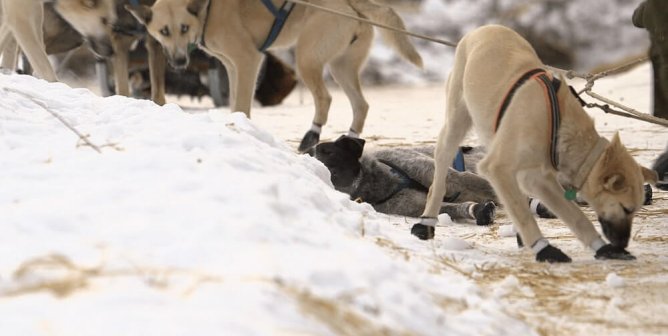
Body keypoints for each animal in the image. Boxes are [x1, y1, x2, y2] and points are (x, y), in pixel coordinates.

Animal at [127, 0, 422, 151]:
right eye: (164, 31)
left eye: (184, 28)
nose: (178, 62)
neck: (207, 11)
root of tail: (353, 3)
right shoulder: (232, 67)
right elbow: (234, 102)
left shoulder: (248, 60)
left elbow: (242, 104)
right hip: (341, 68)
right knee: (361, 105)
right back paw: (349, 140)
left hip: (306, 60)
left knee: (325, 99)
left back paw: (312, 136)